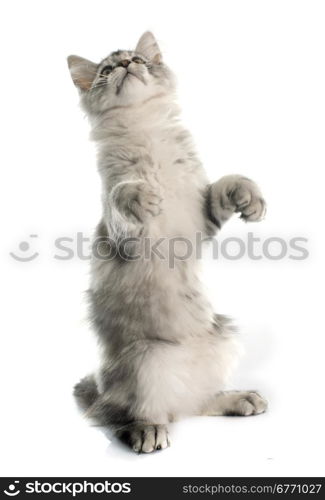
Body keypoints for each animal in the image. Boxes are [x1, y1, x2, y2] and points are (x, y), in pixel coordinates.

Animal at [67, 31, 266, 454]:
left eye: (139, 59)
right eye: (106, 70)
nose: (126, 65)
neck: (145, 132)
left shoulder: (202, 217)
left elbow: (228, 182)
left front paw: (250, 198)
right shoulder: (124, 236)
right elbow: (123, 195)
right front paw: (142, 195)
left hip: (224, 337)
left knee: (197, 403)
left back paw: (239, 398)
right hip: (145, 362)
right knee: (134, 415)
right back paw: (147, 431)